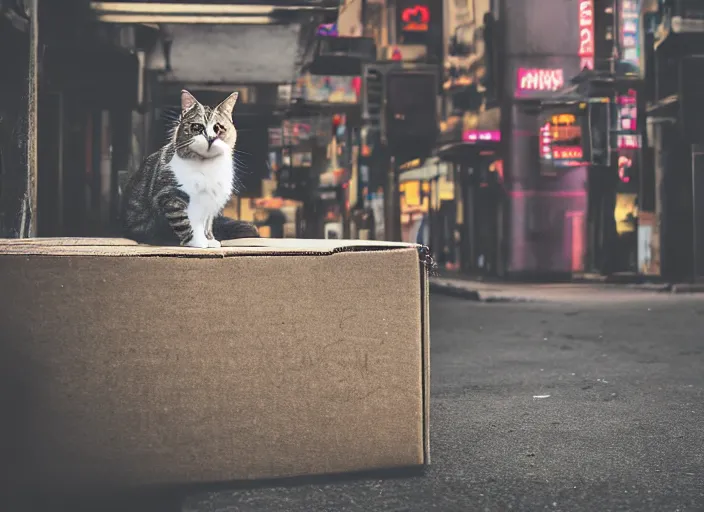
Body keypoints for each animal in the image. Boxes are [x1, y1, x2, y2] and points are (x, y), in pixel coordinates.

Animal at [121, 89, 258, 248]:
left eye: (218, 128)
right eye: (197, 127)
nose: (210, 138)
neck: (207, 167)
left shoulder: (211, 200)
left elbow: (207, 223)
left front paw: (210, 240)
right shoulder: (172, 196)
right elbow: (185, 222)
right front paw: (197, 242)